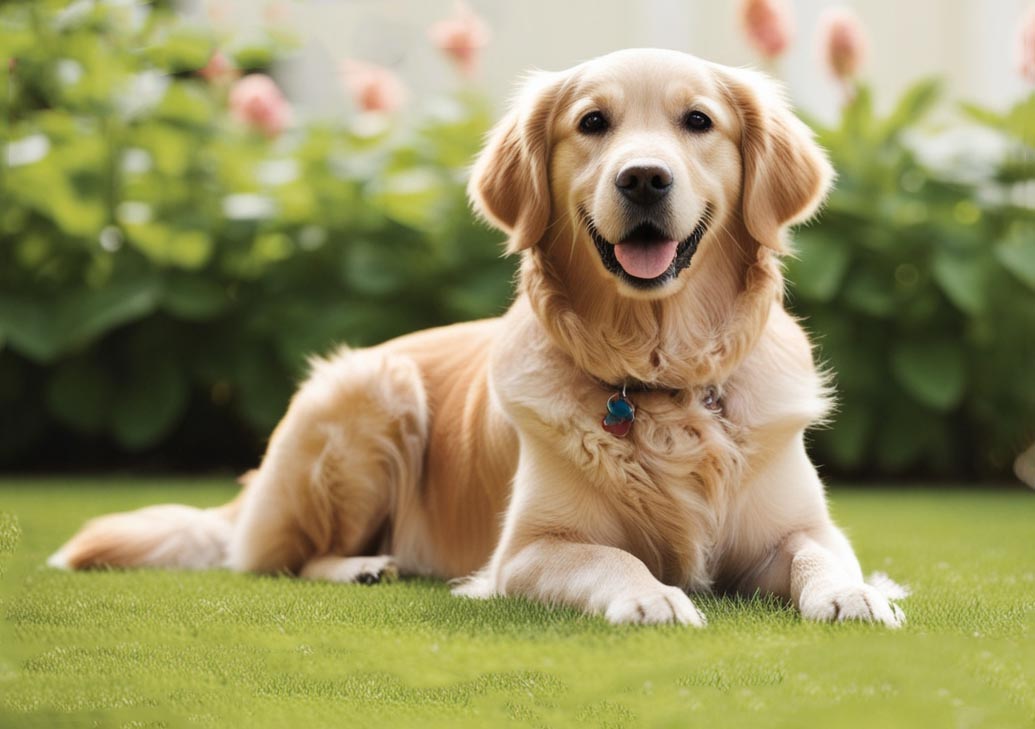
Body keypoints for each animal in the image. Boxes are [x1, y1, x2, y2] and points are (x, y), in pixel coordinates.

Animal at [52, 49, 902, 625]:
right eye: (592, 123)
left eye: (698, 121)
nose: (642, 178)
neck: (659, 373)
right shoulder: (525, 551)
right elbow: (611, 556)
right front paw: (653, 597)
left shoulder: (792, 526)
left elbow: (822, 550)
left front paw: (853, 592)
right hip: (370, 387)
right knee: (283, 559)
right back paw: (363, 566)